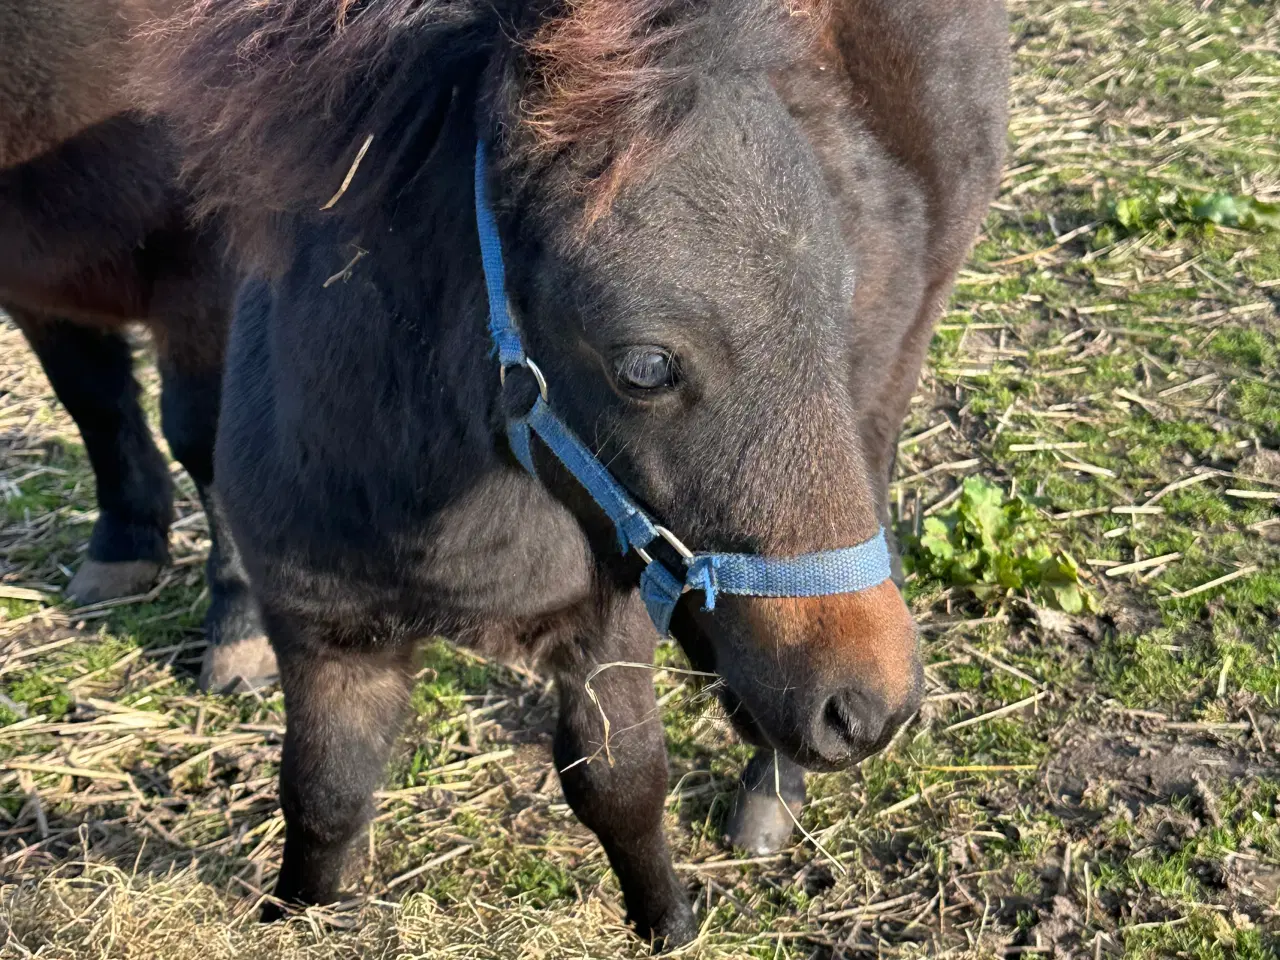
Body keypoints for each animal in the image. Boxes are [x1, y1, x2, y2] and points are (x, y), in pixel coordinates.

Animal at [0, 0, 270, 691]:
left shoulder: (211, 270)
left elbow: (204, 438)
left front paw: (243, 627)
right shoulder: (39, 287)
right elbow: (95, 408)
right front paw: (124, 546)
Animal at [137, 0, 998, 947]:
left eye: (832, 306)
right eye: (646, 366)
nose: (871, 707)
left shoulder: (606, 623)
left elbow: (621, 787)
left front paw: (670, 926)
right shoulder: (322, 635)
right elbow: (324, 798)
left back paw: (771, 793)